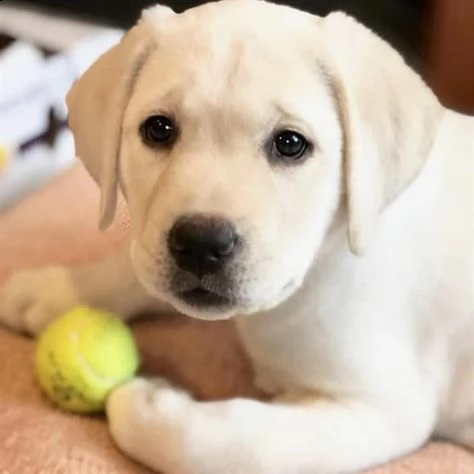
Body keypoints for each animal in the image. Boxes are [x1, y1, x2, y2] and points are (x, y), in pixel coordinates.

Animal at [0, 0, 474, 474]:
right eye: (158, 129)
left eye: (290, 144)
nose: (201, 244)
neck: (323, 260)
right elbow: (135, 271)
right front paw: (59, 288)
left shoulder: (380, 408)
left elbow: (229, 442)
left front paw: (145, 403)